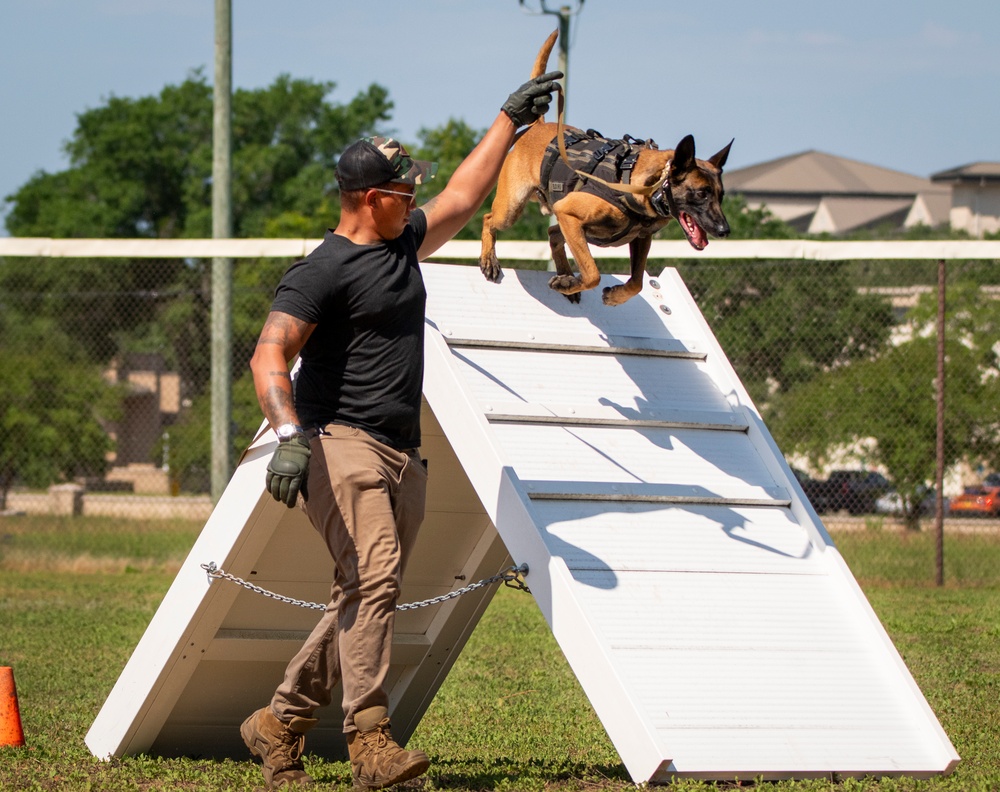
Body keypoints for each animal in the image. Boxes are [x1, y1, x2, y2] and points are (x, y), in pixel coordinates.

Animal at [480, 29, 732, 304]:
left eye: (720, 195)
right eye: (701, 193)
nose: (725, 230)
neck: (646, 184)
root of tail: (540, 126)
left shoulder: (641, 238)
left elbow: (637, 282)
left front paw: (614, 295)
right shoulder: (569, 213)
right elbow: (592, 274)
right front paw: (571, 283)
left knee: (553, 234)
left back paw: (565, 272)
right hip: (512, 208)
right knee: (489, 218)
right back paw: (490, 259)